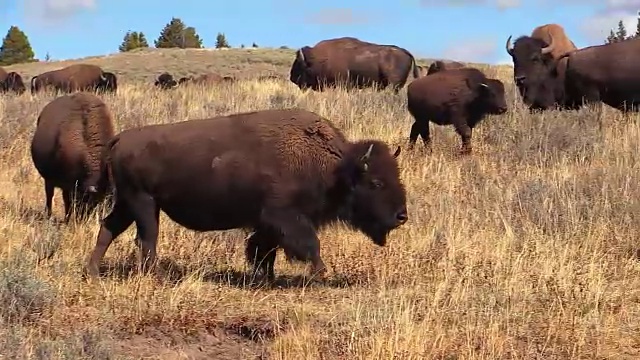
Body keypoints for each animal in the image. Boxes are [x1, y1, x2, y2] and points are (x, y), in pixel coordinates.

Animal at [30, 92, 115, 222]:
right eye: (89, 201)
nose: (83, 220)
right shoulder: (68, 184)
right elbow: (67, 201)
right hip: (48, 179)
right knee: (49, 195)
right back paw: (49, 215)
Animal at [82, 107, 408, 282]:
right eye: (376, 183)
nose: (401, 216)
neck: (334, 167)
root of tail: (120, 138)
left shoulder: (267, 224)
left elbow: (263, 250)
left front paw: (266, 278)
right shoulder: (284, 217)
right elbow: (308, 245)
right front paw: (320, 273)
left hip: (128, 203)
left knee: (109, 228)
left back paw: (93, 272)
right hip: (144, 202)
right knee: (146, 238)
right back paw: (157, 276)